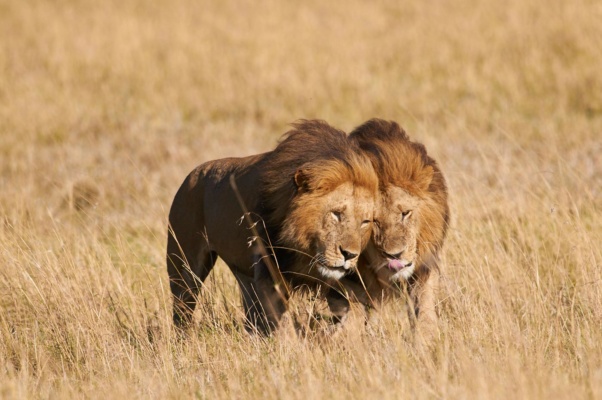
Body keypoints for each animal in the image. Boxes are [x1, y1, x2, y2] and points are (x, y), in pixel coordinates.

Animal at [166, 120, 378, 336]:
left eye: (365, 222)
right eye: (336, 213)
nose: (349, 255)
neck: (305, 249)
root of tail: (191, 174)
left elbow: (354, 312)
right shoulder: (270, 272)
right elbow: (282, 323)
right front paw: (291, 344)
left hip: (244, 273)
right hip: (184, 264)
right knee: (183, 306)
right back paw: (183, 338)